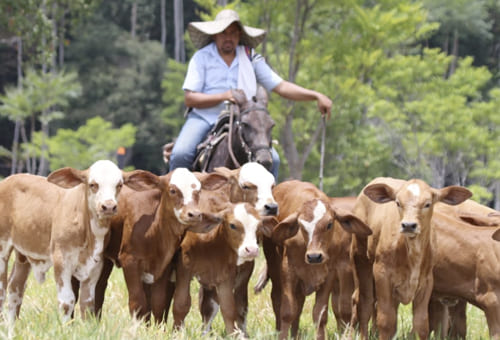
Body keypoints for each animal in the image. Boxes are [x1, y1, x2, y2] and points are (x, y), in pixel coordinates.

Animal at [350, 178, 470, 340]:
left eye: (427, 204)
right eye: (398, 203)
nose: (408, 225)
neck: (412, 253)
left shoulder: (426, 281)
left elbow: (421, 324)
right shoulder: (382, 275)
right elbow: (386, 321)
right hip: (360, 260)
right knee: (364, 302)